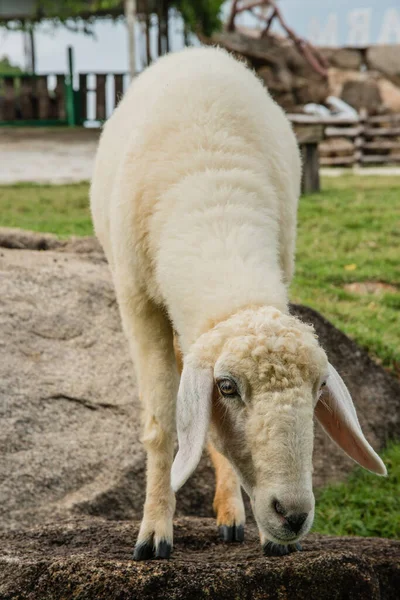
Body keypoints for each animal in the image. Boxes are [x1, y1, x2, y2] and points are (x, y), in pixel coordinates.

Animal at [89, 44, 386, 560]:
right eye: (226, 387)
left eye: (319, 388)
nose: (292, 514)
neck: (215, 207)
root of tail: (198, 50)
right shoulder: (136, 300)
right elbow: (162, 420)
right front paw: (154, 530)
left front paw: (266, 535)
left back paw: (231, 514)